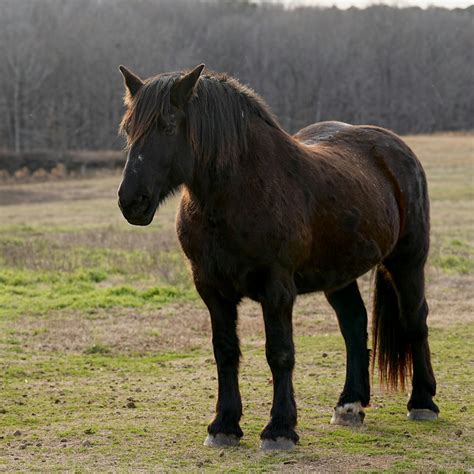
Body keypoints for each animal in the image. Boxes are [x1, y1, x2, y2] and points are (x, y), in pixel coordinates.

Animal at [116, 65, 438, 450]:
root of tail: (395, 147)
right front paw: (223, 425)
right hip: (339, 275)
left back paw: (423, 402)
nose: (131, 201)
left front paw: (280, 429)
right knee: (353, 324)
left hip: (407, 261)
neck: (238, 193)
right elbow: (225, 351)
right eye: (128, 128)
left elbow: (280, 353)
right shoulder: (211, 289)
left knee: (415, 320)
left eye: (167, 125)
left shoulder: (277, 288)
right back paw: (349, 405)